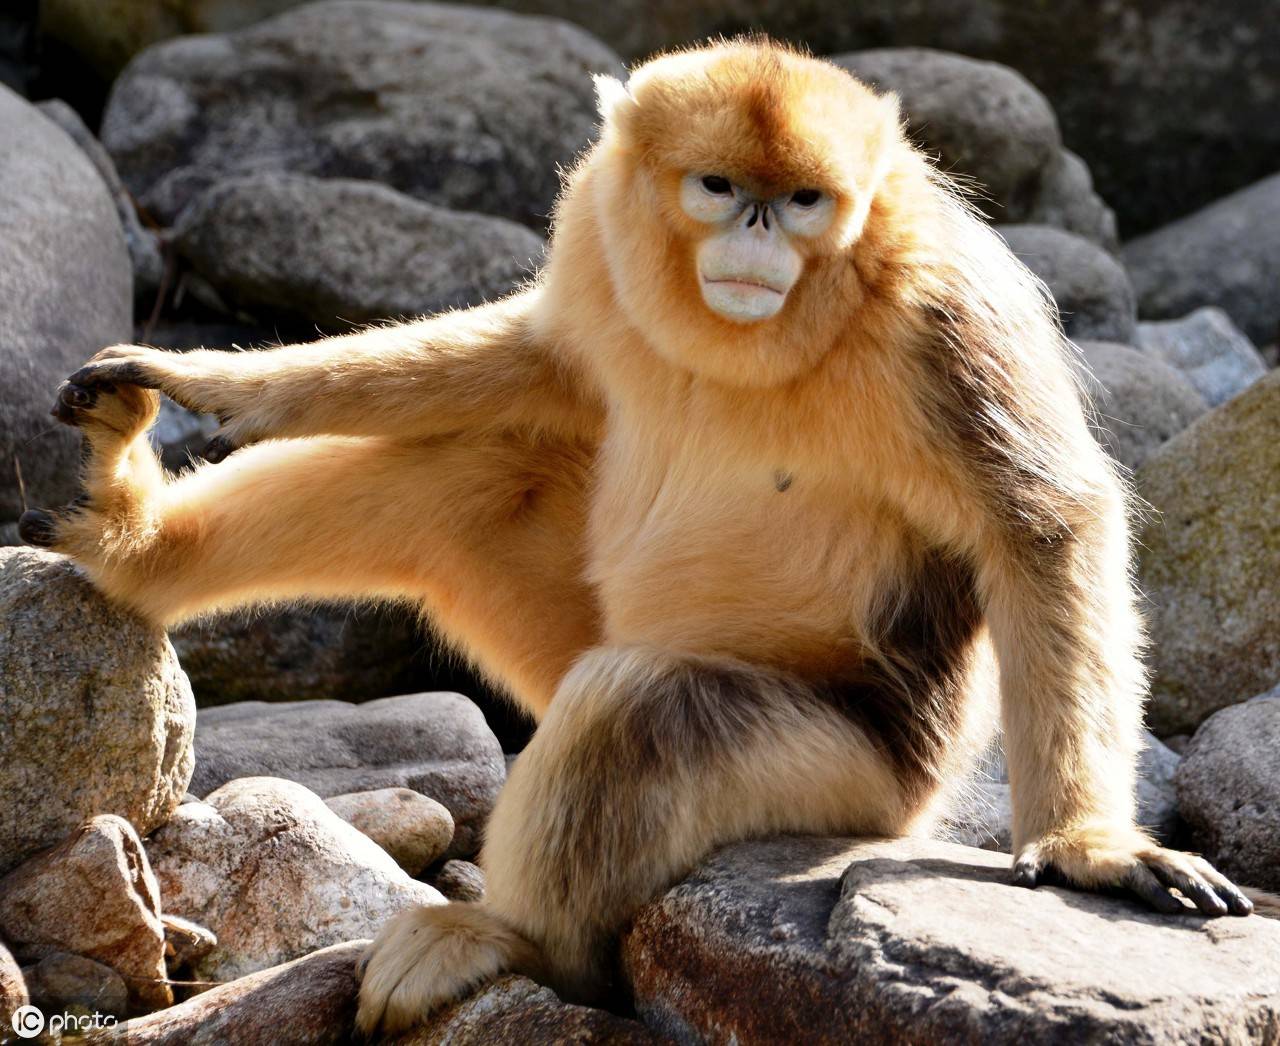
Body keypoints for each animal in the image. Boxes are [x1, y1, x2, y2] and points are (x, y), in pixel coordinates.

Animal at [22, 36, 1249, 1034]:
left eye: (804, 199)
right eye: (721, 187)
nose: (757, 227)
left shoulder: (941, 315)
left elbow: (1041, 523)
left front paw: (1090, 848)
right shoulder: (593, 238)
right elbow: (530, 359)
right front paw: (208, 381)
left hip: (856, 784)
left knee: (638, 704)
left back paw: (512, 938)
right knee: (470, 473)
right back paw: (137, 545)